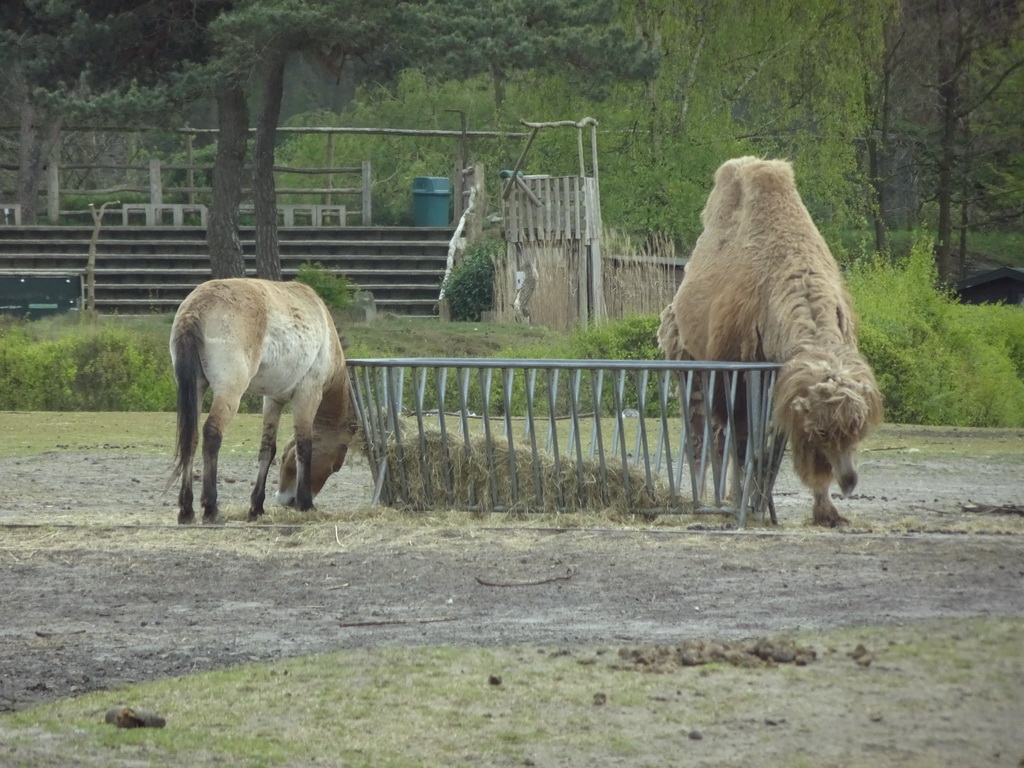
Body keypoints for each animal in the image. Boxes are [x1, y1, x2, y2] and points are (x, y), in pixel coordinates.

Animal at [169, 280, 358, 528]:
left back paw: (186, 510)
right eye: (335, 465)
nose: (286, 500)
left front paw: (256, 507)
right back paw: (211, 509)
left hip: (196, 388)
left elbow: (268, 448)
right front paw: (305, 504)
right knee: (211, 433)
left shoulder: (272, 400)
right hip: (230, 391)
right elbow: (304, 446)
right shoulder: (308, 395)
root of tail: (195, 309)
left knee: (191, 437)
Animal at [659, 157, 884, 528]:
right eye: (821, 432)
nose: (849, 480)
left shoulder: (782, 381)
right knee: (700, 431)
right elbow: (742, 442)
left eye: (858, 429)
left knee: (716, 437)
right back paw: (703, 498)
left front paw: (826, 511)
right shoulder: (735, 375)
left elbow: (771, 447)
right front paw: (743, 503)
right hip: (687, 361)